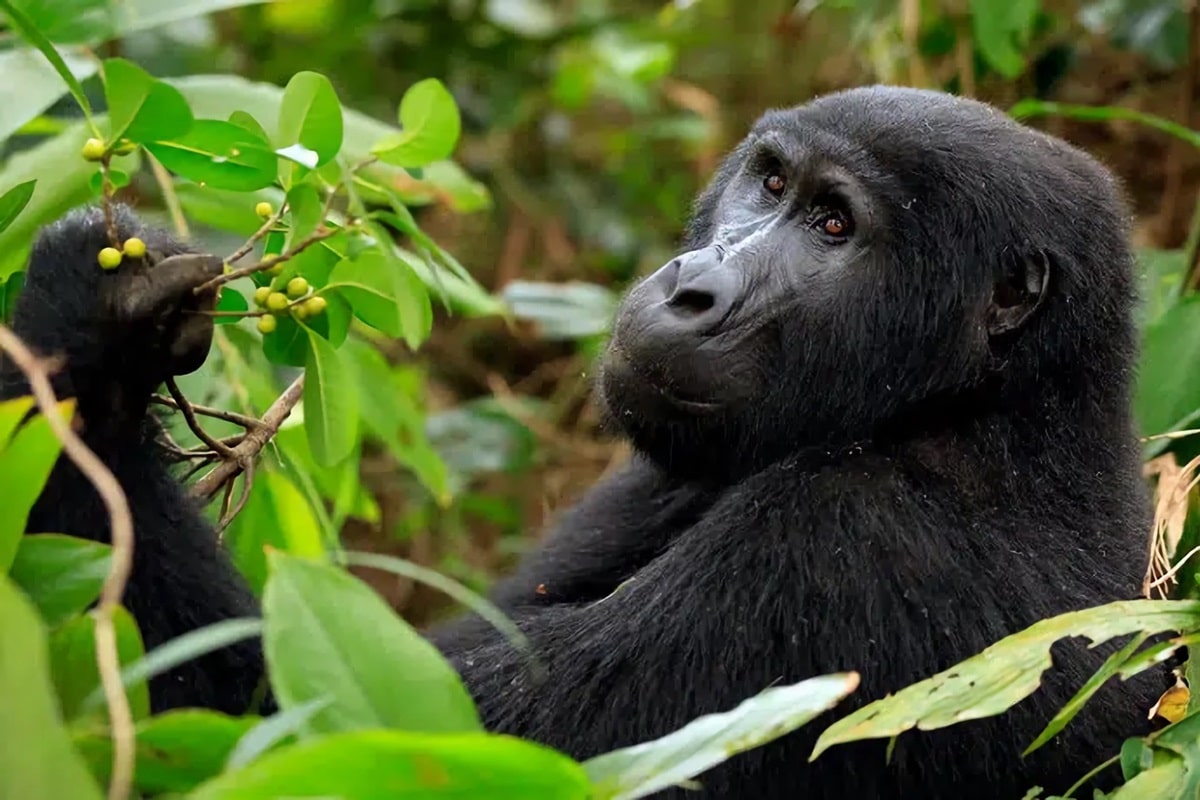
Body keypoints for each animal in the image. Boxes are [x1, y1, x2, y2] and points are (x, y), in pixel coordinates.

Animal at [0, 84, 1161, 796]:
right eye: (771, 183)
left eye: (836, 227)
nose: (692, 288)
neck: (992, 412)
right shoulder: (657, 473)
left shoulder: (846, 549)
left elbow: (291, 728)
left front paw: (78, 336)